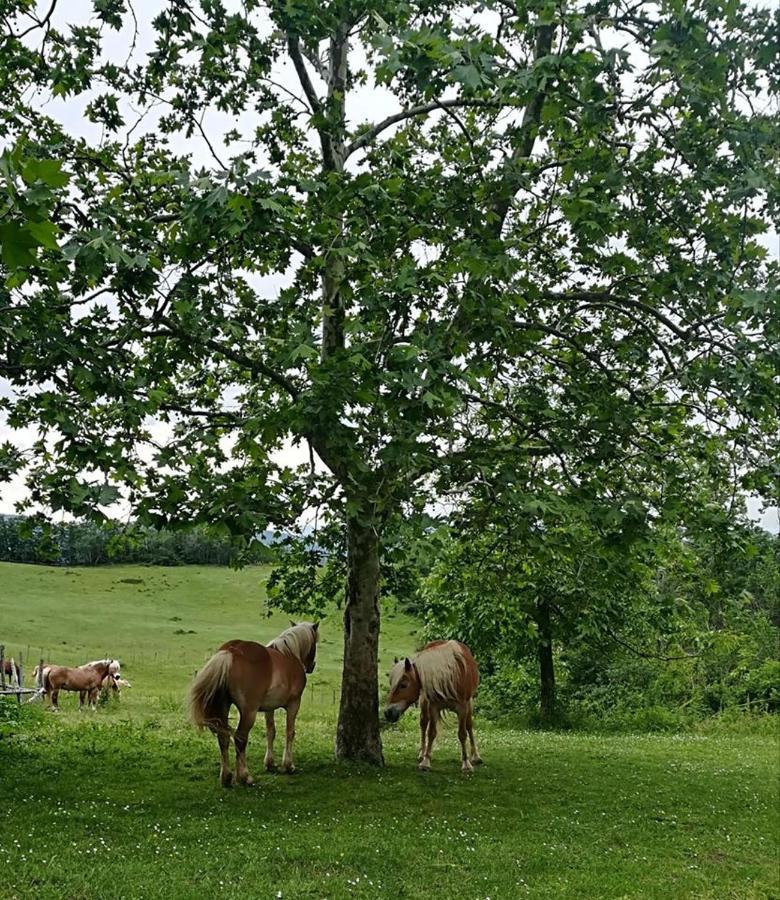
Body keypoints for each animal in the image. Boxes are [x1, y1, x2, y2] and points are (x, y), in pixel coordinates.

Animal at [187, 624, 318, 784]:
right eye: (315, 643)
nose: (311, 666)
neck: (290, 654)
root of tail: (231, 651)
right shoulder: (294, 704)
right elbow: (290, 732)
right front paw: (288, 765)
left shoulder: (269, 708)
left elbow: (271, 732)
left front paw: (269, 763)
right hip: (249, 712)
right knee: (239, 738)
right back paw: (244, 777)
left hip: (224, 708)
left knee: (223, 737)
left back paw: (226, 777)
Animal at [384, 640, 482, 772]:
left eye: (403, 685)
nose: (388, 713)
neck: (449, 677)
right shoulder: (433, 707)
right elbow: (431, 733)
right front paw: (426, 761)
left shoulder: (463, 708)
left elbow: (462, 734)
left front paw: (466, 763)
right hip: (424, 702)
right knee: (424, 723)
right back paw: (422, 752)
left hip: (469, 703)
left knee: (469, 726)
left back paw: (476, 756)